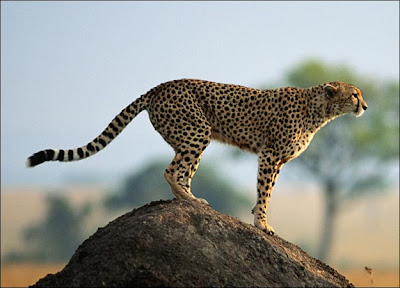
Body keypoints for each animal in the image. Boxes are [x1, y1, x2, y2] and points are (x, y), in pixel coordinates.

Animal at [26, 78, 368, 234]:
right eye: (354, 94)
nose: (365, 106)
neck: (319, 110)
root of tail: (161, 85)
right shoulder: (270, 155)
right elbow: (265, 192)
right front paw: (262, 224)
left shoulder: (278, 160)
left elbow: (265, 192)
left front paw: (257, 217)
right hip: (197, 132)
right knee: (171, 170)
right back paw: (189, 200)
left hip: (192, 137)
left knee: (183, 172)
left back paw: (191, 200)